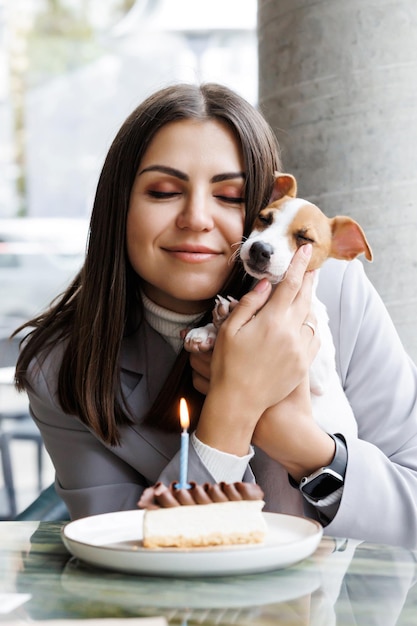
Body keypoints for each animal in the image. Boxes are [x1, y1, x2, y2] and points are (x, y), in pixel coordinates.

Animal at [184, 171, 372, 434]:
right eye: (264, 219)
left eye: (305, 238)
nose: (259, 248)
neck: (275, 296)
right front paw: (207, 330)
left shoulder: (318, 372)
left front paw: (228, 315)